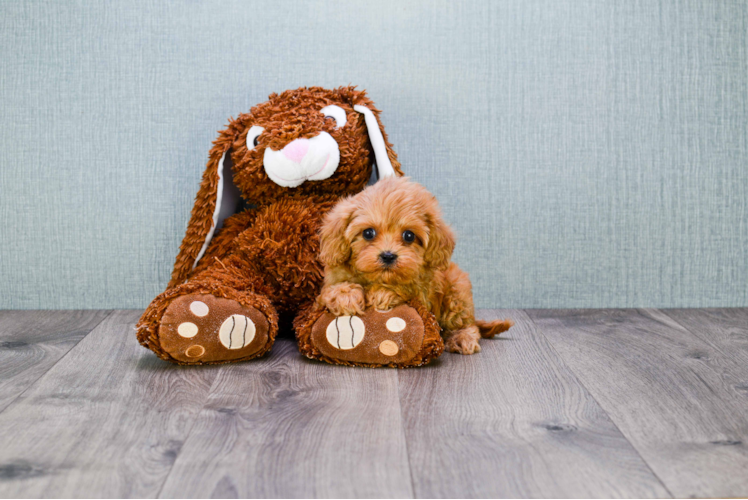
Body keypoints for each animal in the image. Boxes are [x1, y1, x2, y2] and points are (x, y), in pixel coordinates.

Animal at [316, 176, 516, 356]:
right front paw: (346, 295)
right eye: (368, 233)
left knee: (466, 323)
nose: (388, 255)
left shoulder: (426, 292)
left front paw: (383, 293)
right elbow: (332, 290)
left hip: (457, 292)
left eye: (409, 236)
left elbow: (410, 288)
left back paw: (463, 337)